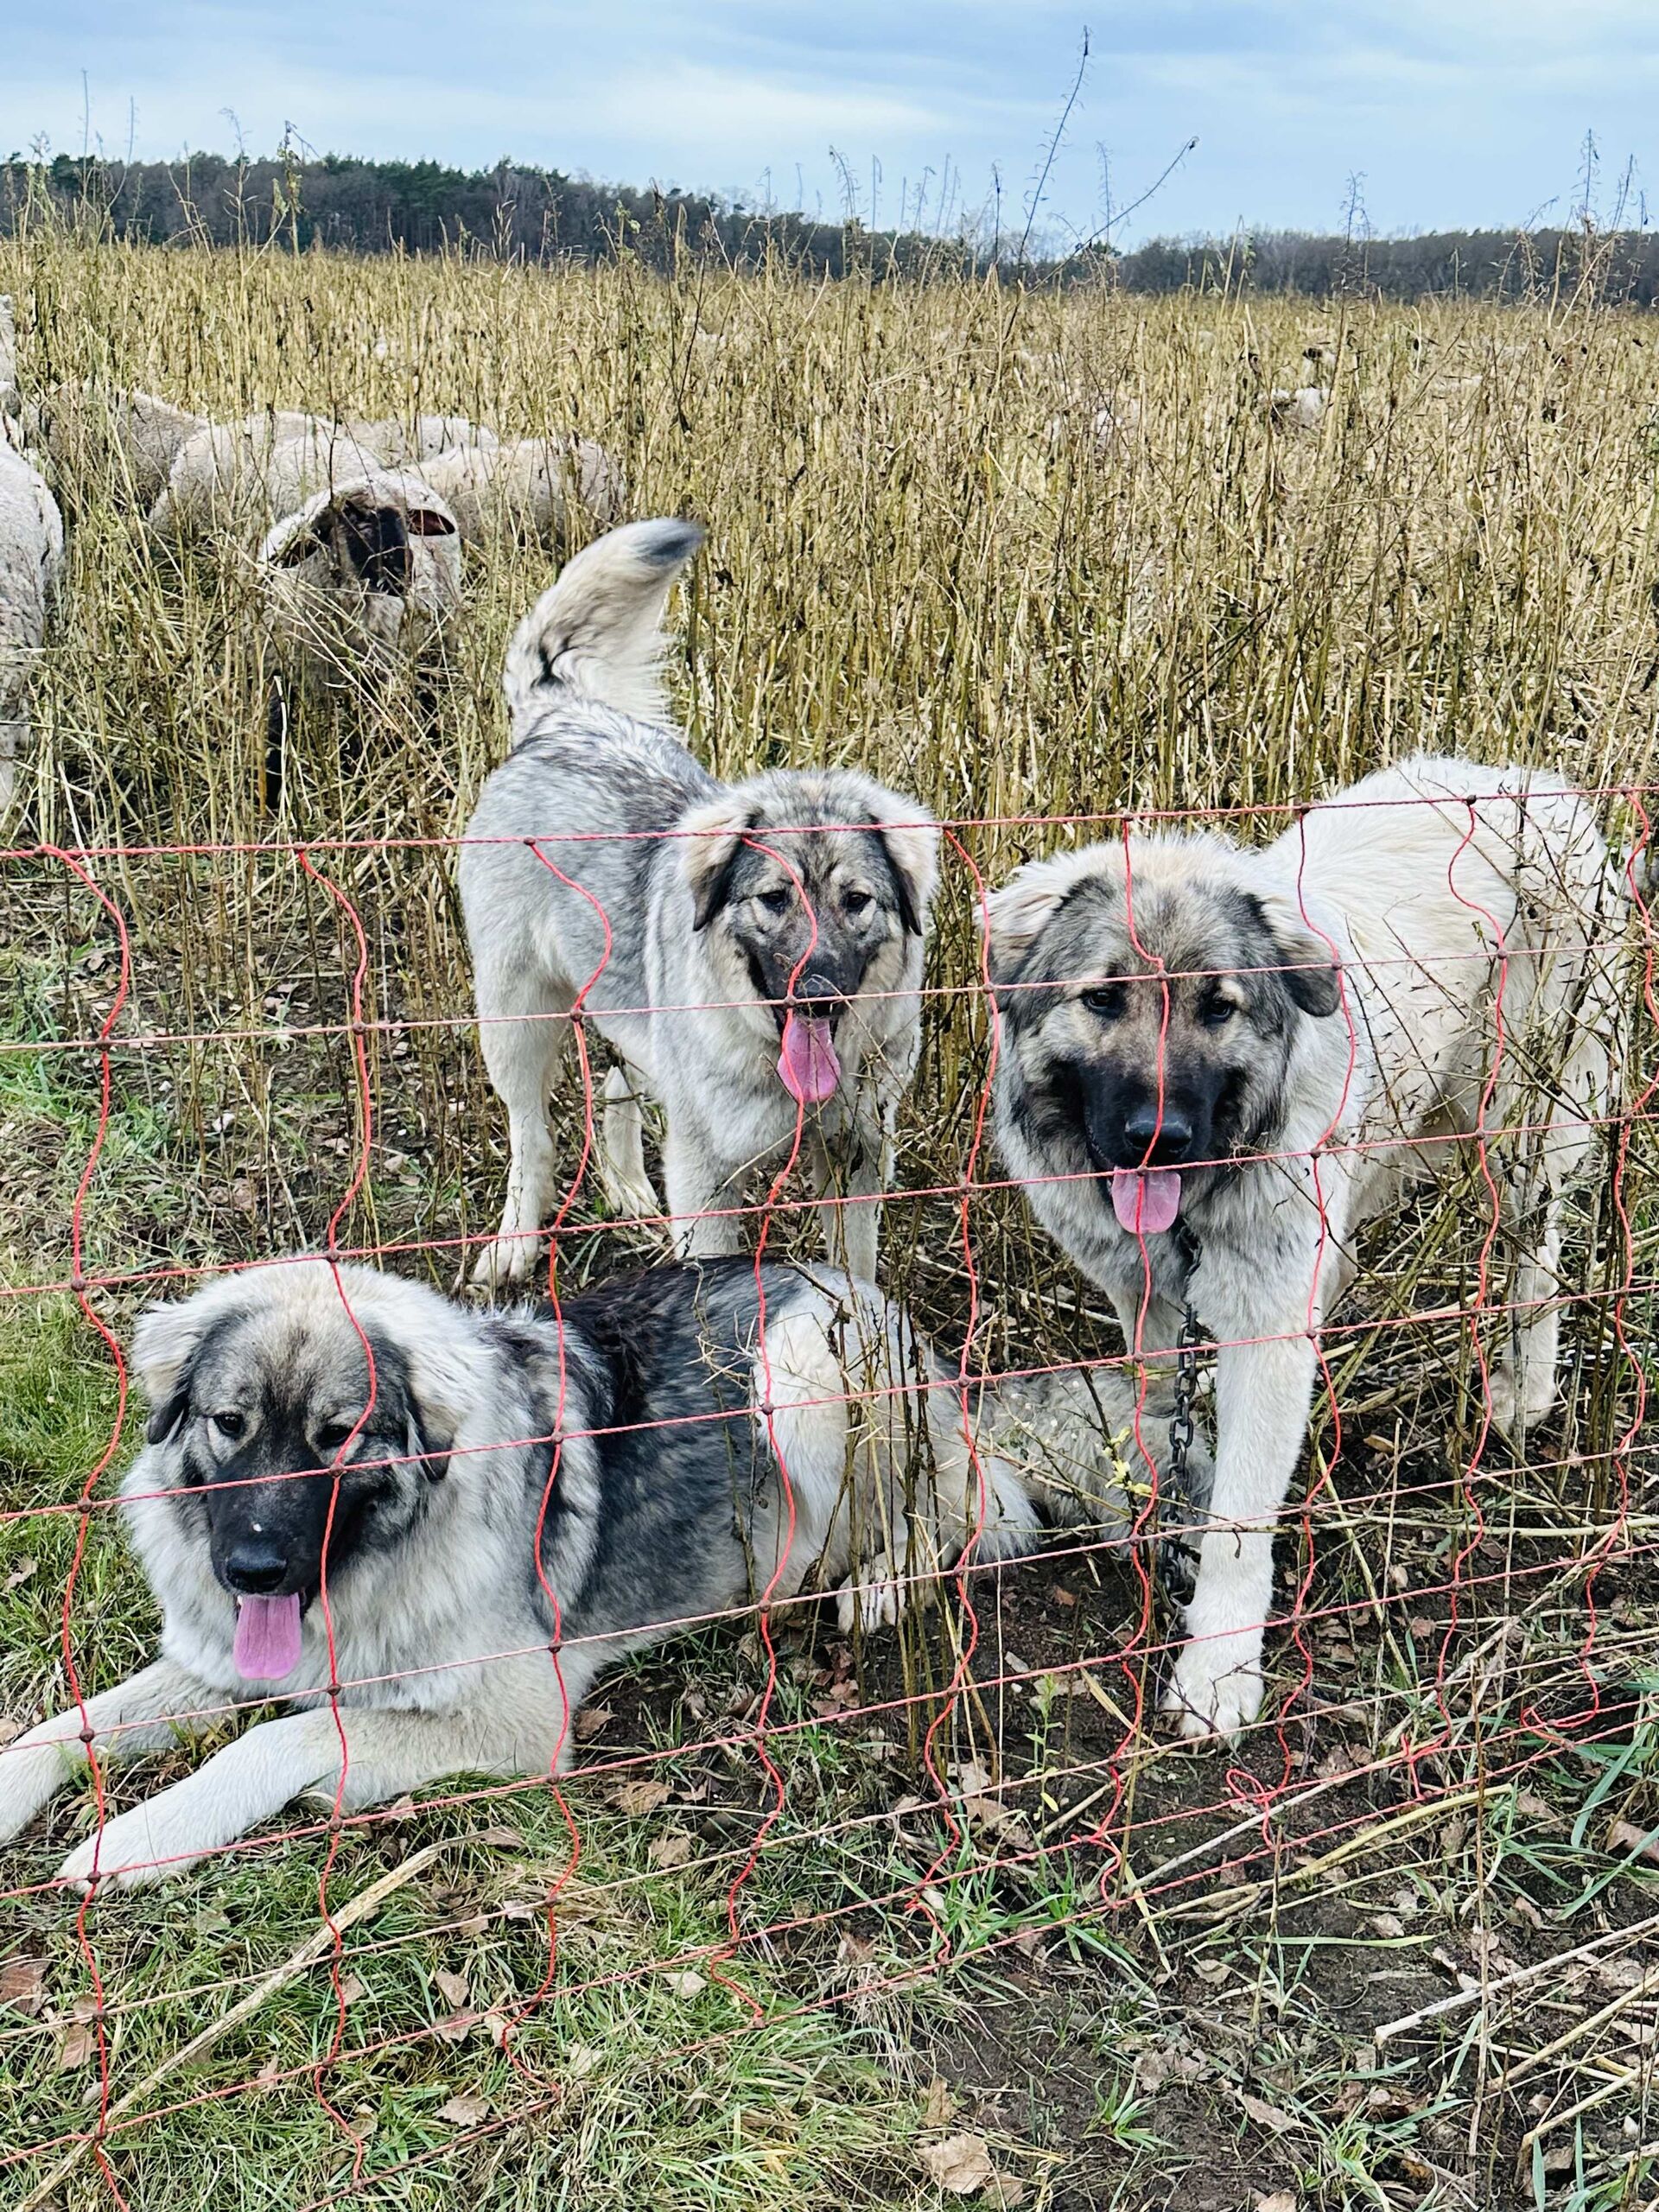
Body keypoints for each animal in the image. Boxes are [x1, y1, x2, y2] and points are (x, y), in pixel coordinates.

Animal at [0, 1256, 1203, 1893]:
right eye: (230, 1425)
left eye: (339, 1437)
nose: (251, 1568)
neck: (377, 1565)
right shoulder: (219, 1658)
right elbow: (65, 1724)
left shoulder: (516, 1722)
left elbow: (273, 1739)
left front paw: (138, 1837)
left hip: (797, 1381)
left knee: (973, 1510)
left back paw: (861, 1581)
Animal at [462, 515, 942, 1292]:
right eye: (773, 898)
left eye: (856, 901)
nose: (816, 994)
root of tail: (563, 714)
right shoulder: (708, 1182)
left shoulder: (857, 1156)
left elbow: (856, 1273)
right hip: (516, 1020)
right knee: (531, 1138)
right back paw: (516, 1243)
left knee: (620, 1083)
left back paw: (627, 1187)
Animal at [986, 760, 1628, 1743]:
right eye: (1102, 998)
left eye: (1218, 1006)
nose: (1157, 1139)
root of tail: (1532, 782)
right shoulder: (1150, 1302)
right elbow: (1160, 1417)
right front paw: (1165, 1513)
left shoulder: (1265, 1332)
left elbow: (1241, 1523)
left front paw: (1217, 1669)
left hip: (1517, 1130)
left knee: (1537, 1252)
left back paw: (1524, 1393)